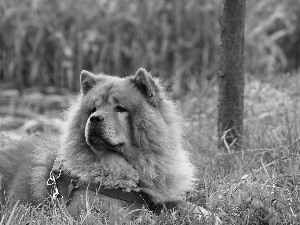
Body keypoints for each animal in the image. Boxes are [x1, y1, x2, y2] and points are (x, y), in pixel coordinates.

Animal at [0, 68, 220, 223]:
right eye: (93, 109)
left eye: (120, 108)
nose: (95, 118)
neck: (133, 166)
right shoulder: (85, 208)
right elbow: (125, 215)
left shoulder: (157, 197)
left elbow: (183, 204)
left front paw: (209, 216)